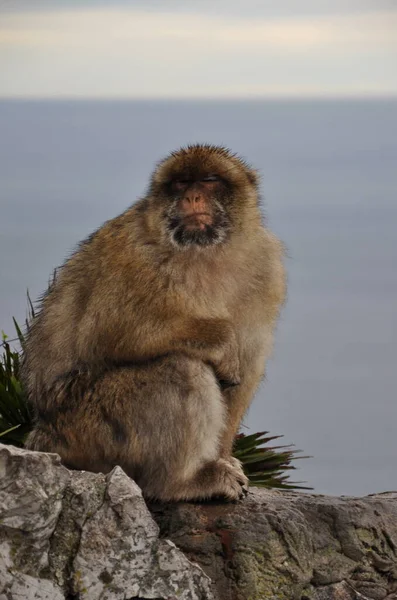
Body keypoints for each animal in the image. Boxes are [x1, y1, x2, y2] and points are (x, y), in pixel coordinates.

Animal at [24, 145, 284, 502]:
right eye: (180, 183)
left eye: (209, 180)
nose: (192, 197)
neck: (205, 253)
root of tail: (42, 436)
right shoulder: (134, 256)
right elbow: (107, 332)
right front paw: (222, 342)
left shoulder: (266, 266)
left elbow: (248, 368)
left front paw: (224, 454)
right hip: (89, 431)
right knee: (180, 368)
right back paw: (181, 482)